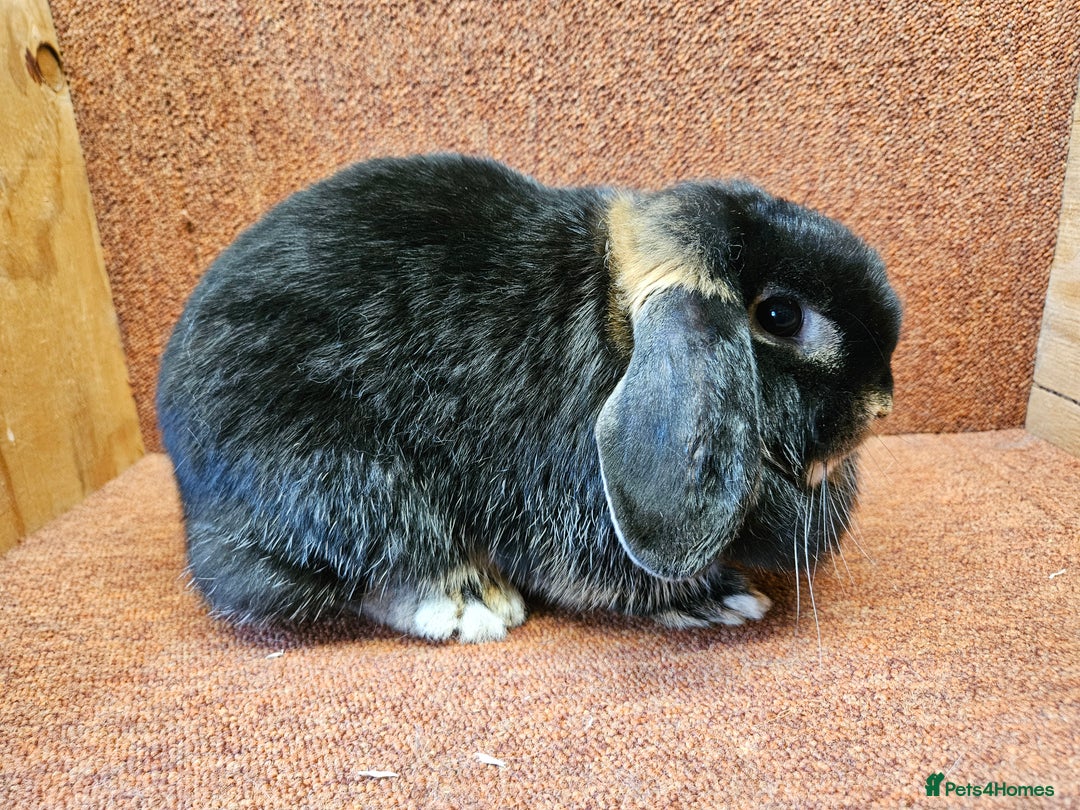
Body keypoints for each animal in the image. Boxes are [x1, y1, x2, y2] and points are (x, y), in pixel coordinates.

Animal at [157, 153, 901, 642]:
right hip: (339, 476)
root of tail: (191, 498)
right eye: (780, 316)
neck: (616, 325)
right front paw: (718, 599)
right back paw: (473, 604)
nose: (879, 405)